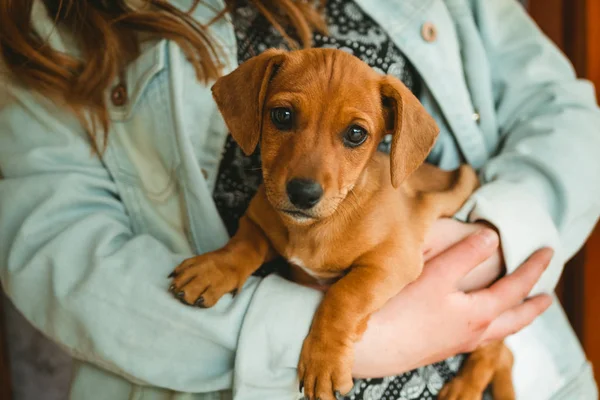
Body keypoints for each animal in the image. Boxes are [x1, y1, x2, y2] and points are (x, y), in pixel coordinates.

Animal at [170, 49, 516, 400]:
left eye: (355, 134)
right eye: (282, 115)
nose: (303, 193)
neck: (315, 227)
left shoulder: (391, 261)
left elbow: (343, 296)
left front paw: (323, 360)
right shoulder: (258, 222)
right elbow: (243, 245)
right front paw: (213, 269)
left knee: (496, 351)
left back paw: (465, 387)